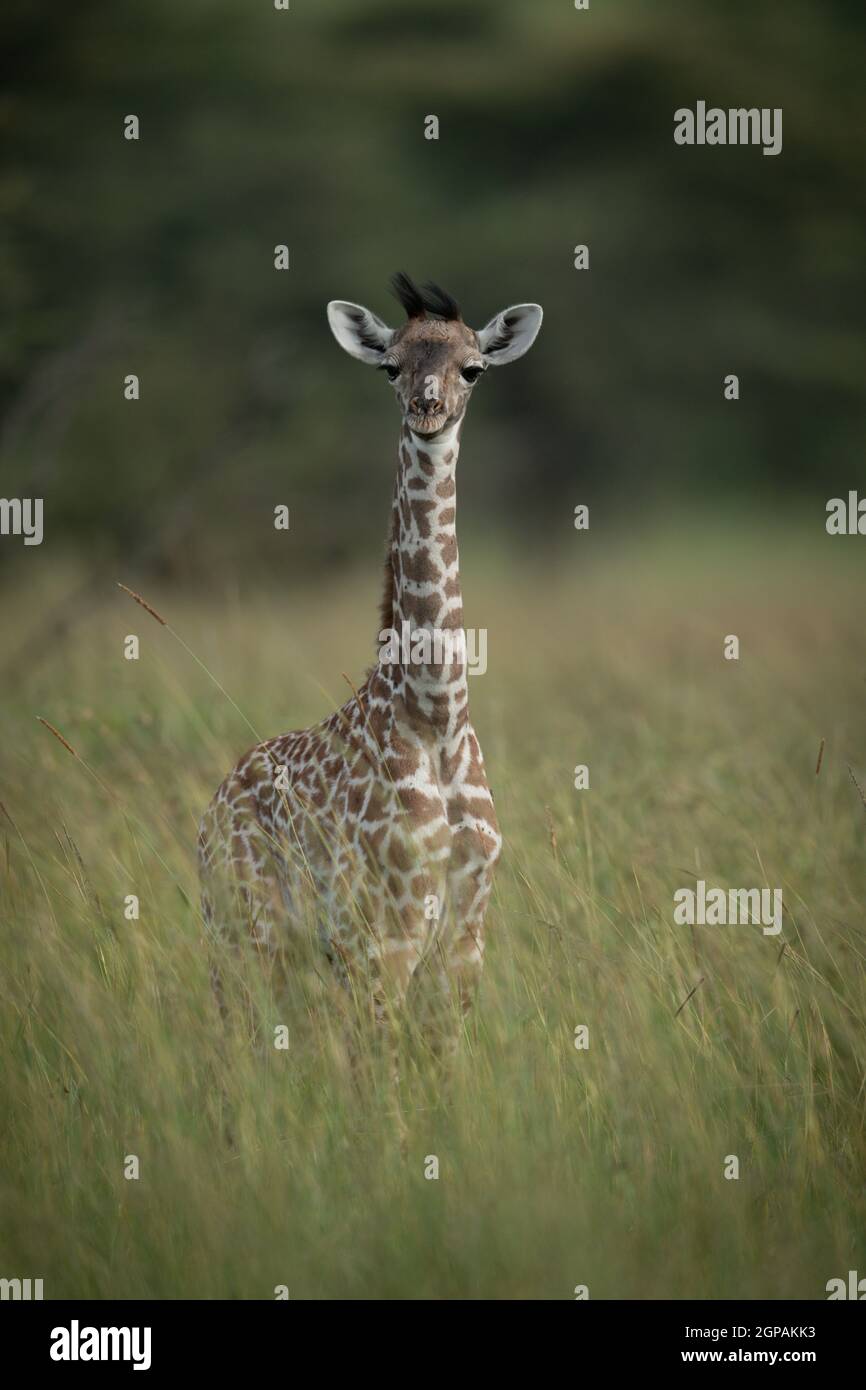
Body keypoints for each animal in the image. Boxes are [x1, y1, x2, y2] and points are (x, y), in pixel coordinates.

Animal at [198, 273, 543, 1056]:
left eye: (473, 368)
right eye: (391, 366)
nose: (427, 408)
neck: (437, 715)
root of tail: (213, 806)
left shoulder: (466, 932)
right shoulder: (387, 932)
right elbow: (382, 1072)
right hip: (246, 927)